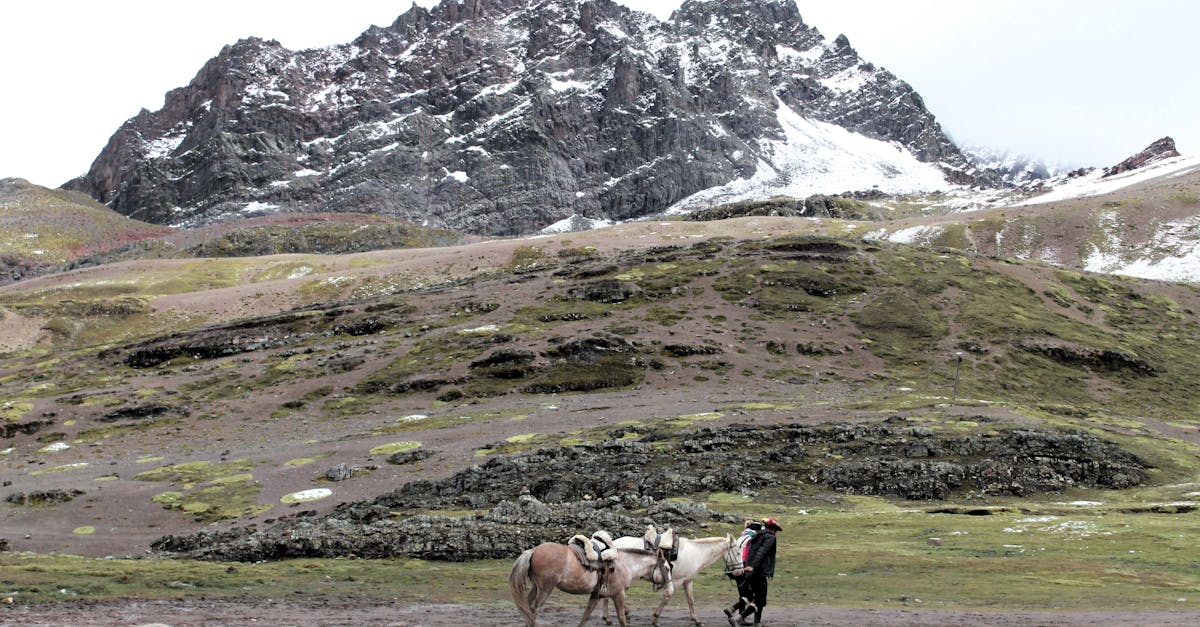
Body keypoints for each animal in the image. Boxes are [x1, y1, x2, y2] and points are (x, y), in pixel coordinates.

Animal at [508, 538, 672, 619]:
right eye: (667, 568)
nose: (670, 588)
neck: (625, 564)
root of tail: (534, 550)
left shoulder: (596, 595)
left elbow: (586, 616)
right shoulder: (618, 595)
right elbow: (621, 617)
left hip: (536, 587)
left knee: (527, 609)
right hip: (545, 589)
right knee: (534, 610)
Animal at [604, 526, 734, 624]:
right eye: (737, 550)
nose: (736, 571)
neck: (695, 552)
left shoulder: (687, 580)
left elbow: (690, 600)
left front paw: (696, 620)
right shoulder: (674, 580)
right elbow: (668, 594)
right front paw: (655, 618)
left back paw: (610, 617)